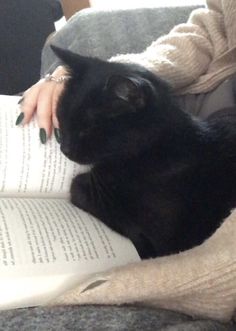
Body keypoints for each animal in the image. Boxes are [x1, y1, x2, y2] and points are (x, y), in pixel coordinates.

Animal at [52, 45, 236, 260]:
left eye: (88, 128)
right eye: (62, 117)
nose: (65, 148)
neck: (156, 148)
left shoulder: (160, 243)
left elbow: (77, 188)